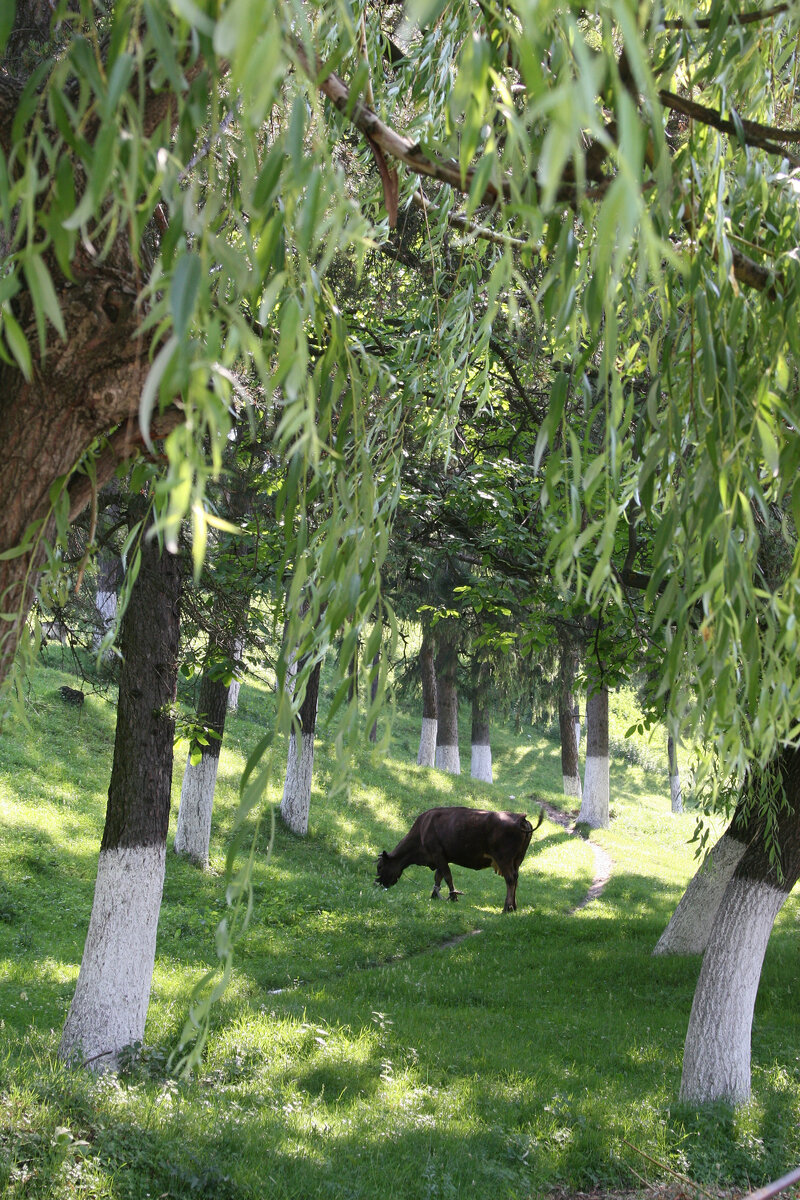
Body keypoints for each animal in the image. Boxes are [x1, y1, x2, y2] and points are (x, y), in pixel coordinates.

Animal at [376, 811, 544, 912]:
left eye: (380, 867)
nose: (377, 883)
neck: (422, 829)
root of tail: (520, 817)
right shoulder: (441, 857)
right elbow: (438, 877)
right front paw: (434, 895)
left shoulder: (437, 854)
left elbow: (447, 877)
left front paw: (453, 897)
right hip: (517, 861)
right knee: (516, 879)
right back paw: (513, 906)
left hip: (504, 859)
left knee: (510, 880)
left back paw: (506, 908)